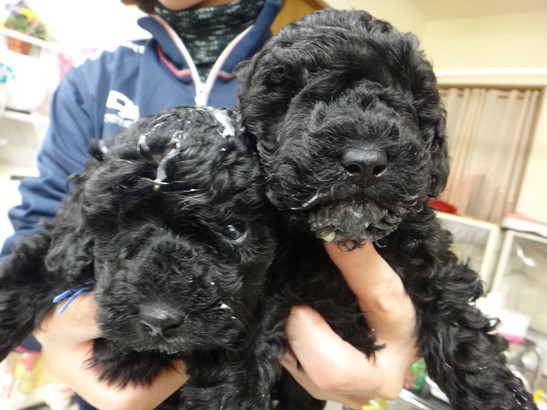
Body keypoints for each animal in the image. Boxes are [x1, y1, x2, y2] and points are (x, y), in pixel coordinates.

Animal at [0, 106, 279, 409]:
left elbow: (258, 315)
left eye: (234, 230)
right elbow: (34, 269)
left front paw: (232, 390)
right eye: (118, 222)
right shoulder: (62, 254)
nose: (159, 321)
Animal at [238, 9, 538, 410]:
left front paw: (498, 394)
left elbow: (459, 323)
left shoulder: (429, 257)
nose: (365, 162)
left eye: (404, 103)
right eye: (296, 95)